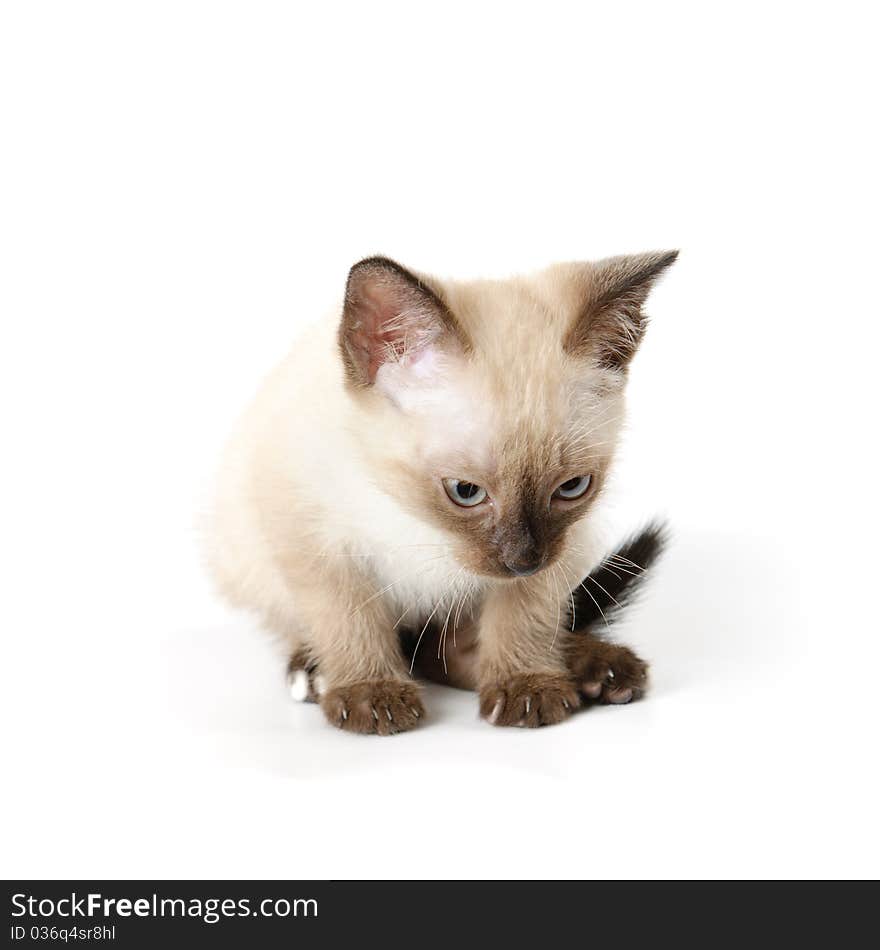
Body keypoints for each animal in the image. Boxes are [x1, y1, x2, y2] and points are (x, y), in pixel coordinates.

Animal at [206, 251, 672, 736]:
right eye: (465, 492)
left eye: (571, 488)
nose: (524, 560)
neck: (418, 521)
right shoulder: (314, 543)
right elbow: (349, 619)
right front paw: (372, 693)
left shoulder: (559, 552)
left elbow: (523, 617)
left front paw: (526, 685)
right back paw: (315, 676)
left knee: (447, 649)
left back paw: (598, 669)